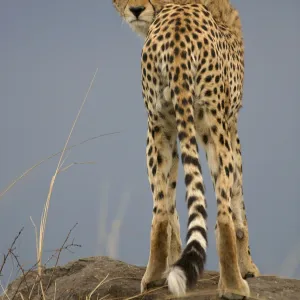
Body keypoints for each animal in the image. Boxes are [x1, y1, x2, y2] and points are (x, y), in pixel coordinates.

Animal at [111, 0, 258, 298]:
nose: (135, 9)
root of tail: (178, 30)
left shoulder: (171, 128)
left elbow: (172, 203)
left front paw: (175, 259)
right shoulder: (231, 128)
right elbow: (239, 204)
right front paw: (248, 267)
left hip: (159, 126)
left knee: (160, 210)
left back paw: (154, 277)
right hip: (214, 128)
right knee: (223, 211)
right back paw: (234, 285)